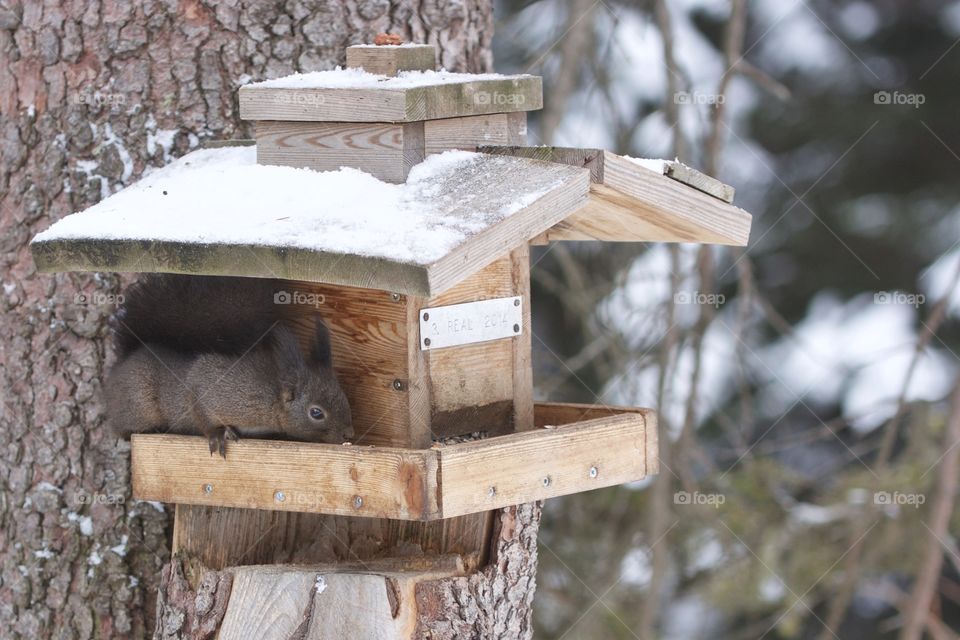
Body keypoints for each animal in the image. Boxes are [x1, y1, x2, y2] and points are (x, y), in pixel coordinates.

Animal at [104, 274, 354, 456]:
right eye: (316, 412)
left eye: (344, 397)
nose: (348, 435)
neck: (272, 396)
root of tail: (126, 358)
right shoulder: (215, 386)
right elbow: (199, 406)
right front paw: (216, 434)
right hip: (138, 404)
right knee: (123, 427)